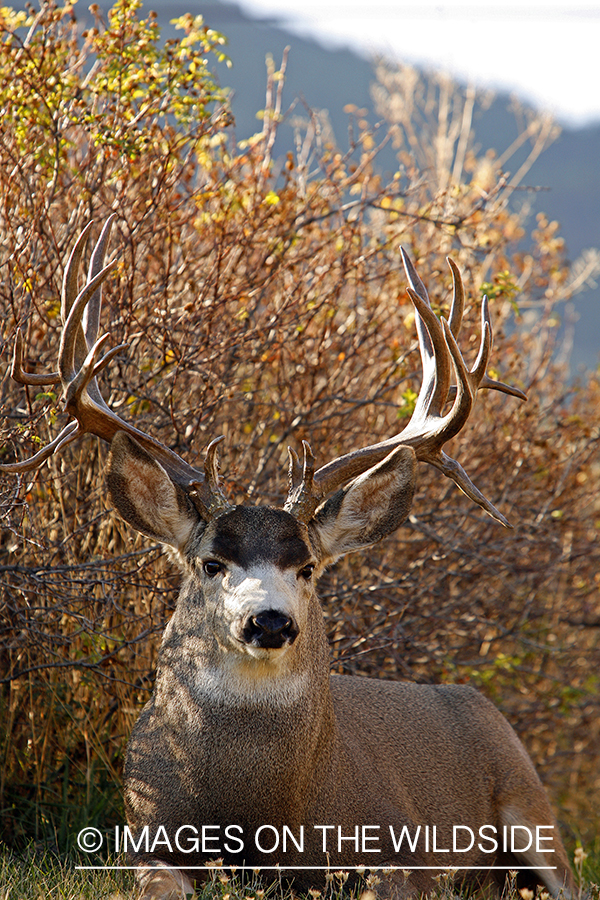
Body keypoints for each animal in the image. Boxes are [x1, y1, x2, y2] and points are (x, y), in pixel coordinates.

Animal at [2, 218, 575, 900]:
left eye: (307, 568)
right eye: (211, 564)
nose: (269, 621)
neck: (263, 820)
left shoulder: (401, 842)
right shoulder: (145, 834)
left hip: (532, 806)